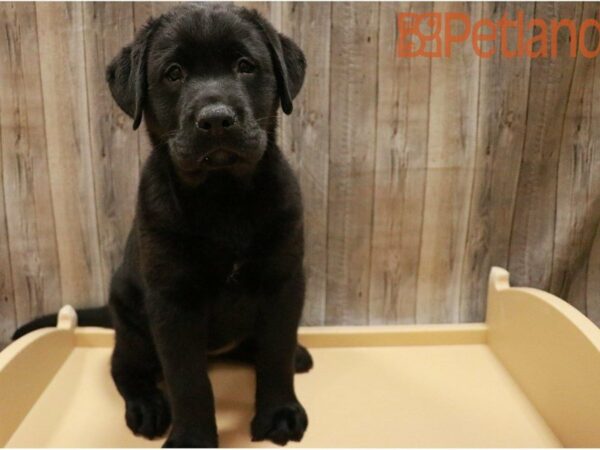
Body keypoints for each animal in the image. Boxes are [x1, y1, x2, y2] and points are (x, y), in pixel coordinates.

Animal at [14, 2, 312, 446]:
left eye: (245, 66)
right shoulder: (172, 302)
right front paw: (193, 438)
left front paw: (279, 412)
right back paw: (147, 406)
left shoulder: (283, 280)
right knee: (123, 367)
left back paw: (298, 354)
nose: (216, 119)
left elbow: (274, 351)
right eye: (173, 73)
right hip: (133, 327)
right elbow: (188, 379)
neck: (223, 197)